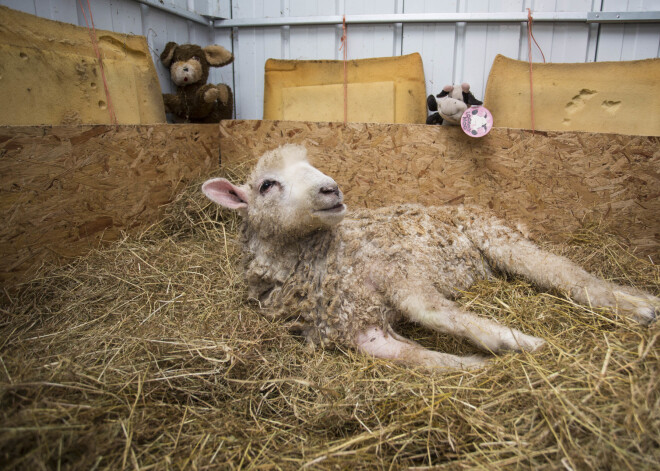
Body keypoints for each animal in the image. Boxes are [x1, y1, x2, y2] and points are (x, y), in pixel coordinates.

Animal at [202, 144, 660, 368]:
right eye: (267, 185)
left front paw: (517, 340)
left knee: (568, 274)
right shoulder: (355, 327)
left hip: (499, 239)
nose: (332, 189)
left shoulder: (395, 270)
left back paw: (640, 306)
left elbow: (433, 311)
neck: (319, 261)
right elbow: (421, 359)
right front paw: (480, 362)